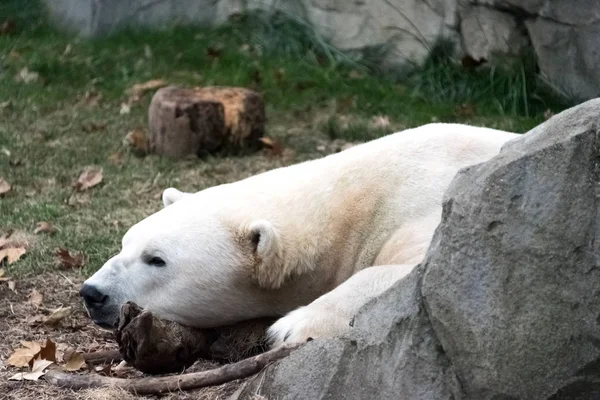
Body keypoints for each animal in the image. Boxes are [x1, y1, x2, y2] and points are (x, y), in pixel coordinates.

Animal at [81, 122, 520, 346]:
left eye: (157, 259)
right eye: (125, 242)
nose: (93, 293)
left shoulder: (434, 201)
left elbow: (419, 269)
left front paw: (292, 326)